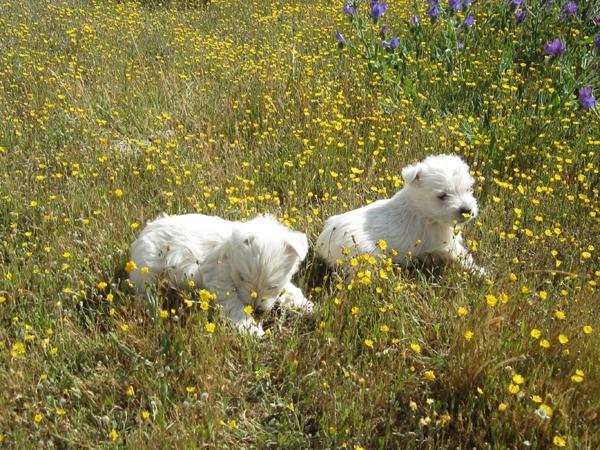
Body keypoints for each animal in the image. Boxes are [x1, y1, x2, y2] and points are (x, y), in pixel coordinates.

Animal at [129, 213, 312, 336]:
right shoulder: (220, 281)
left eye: (273, 286)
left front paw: (305, 304)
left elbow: (289, 290)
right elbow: (235, 305)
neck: (229, 253)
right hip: (147, 272)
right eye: (242, 277)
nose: (255, 308)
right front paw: (251, 328)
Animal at [316, 154, 486, 274]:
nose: (467, 211)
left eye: (469, 189)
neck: (420, 208)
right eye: (442, 196)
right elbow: (465, 258)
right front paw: (482, 273)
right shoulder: (446, 244)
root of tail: (323, 241)